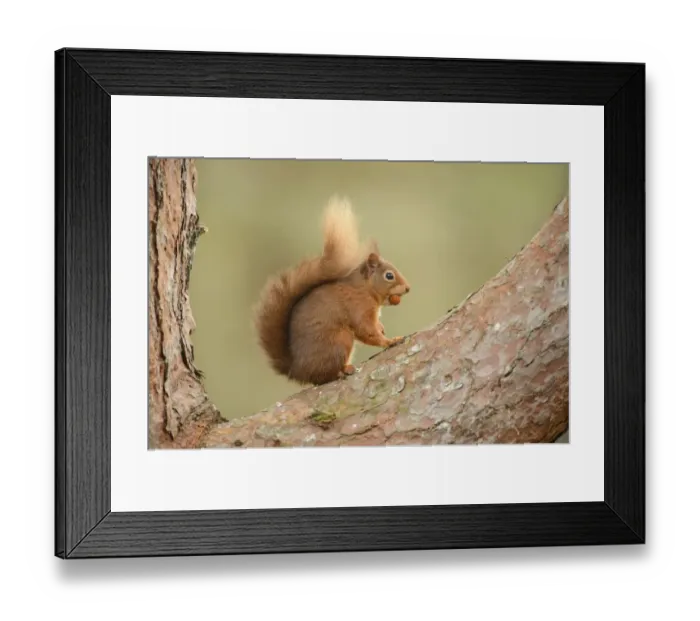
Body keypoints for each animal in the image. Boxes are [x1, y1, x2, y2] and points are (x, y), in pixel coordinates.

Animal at [253, 197, 411, 386]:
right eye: (389, 275)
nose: (408, 288)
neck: (364, 289)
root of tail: (298, 371)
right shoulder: (358, 307)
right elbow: (366, 331)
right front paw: (390, 341)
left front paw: (382, 328)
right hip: (340, 340)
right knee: (324, 376)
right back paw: (343, 371)